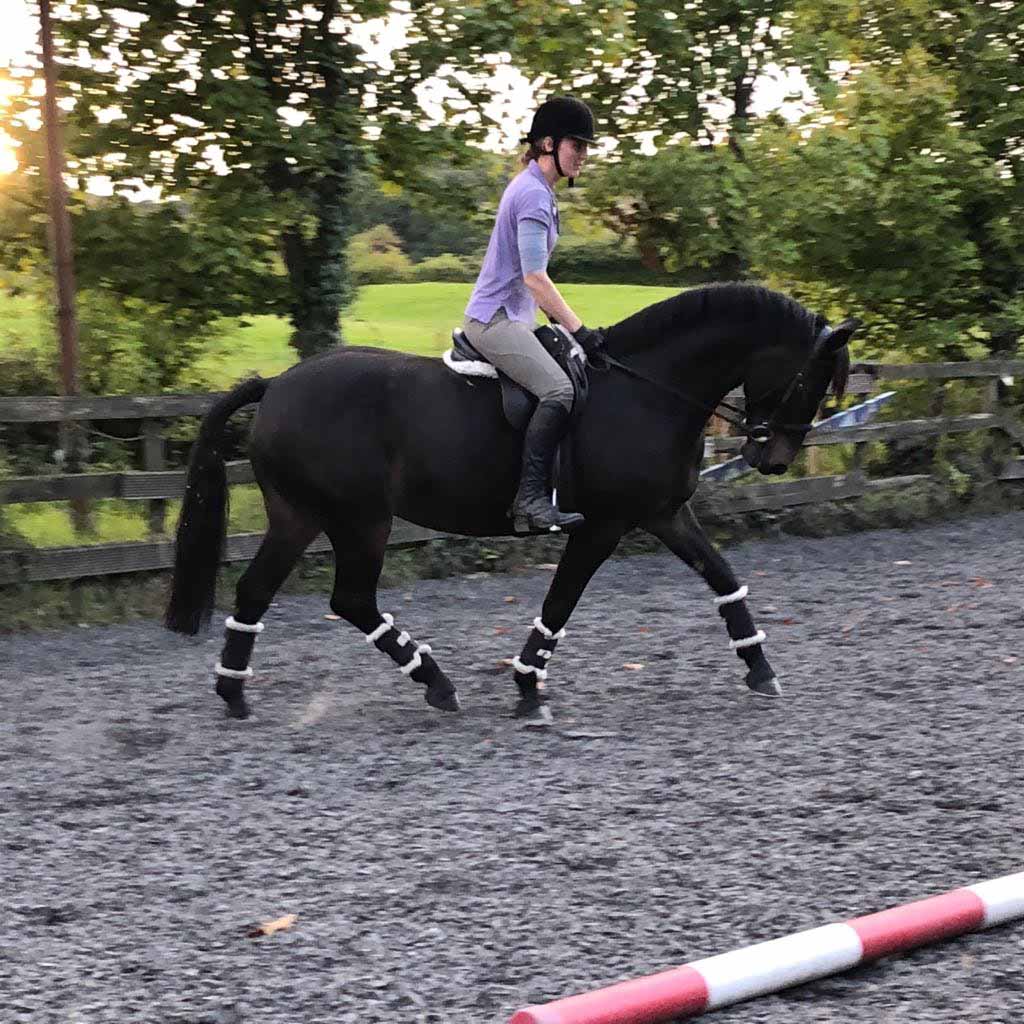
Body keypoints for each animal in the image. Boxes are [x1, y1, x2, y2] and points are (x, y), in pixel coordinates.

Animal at [165, 284, 856, 724]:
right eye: (810, 380)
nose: (776, 459)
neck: (647, 390)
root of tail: (277, 384)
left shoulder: (662, 513)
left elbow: (723, 577)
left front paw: (760, 668)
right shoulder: (603, 525)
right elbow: (560, 602)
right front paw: (528, 686)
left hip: (300, 516)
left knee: (256, 592)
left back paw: (234, 695)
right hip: (360, 519)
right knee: (351, 599)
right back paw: (436, 683)